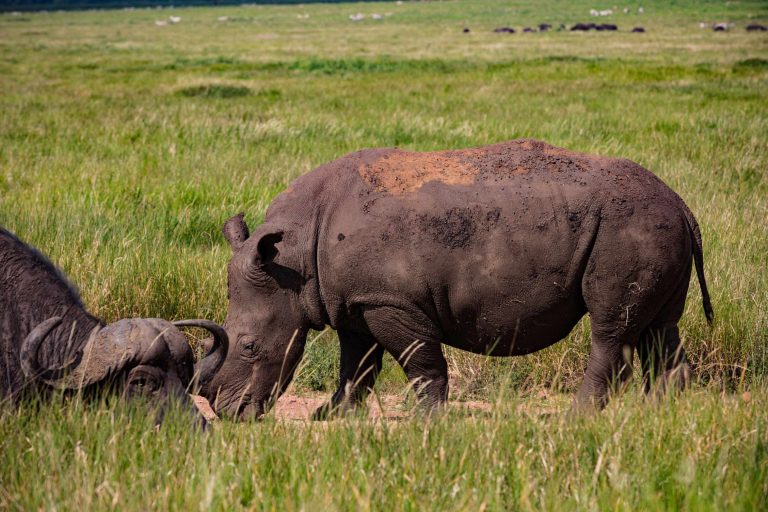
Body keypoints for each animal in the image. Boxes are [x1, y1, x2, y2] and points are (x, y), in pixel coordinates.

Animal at [202, 139, 713, 420]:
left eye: (249, 346)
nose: (229, 414)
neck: (293, 257)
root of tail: (682, 205)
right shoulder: (353, 301)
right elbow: (357, 366)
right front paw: (329, 418)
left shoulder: (389, 301)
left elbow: (418, 360)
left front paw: (428, 421)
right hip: (653, 226)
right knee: (658, 328)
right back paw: (663, 416)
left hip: (629, 226)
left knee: (611, 326)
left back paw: (577, 417)